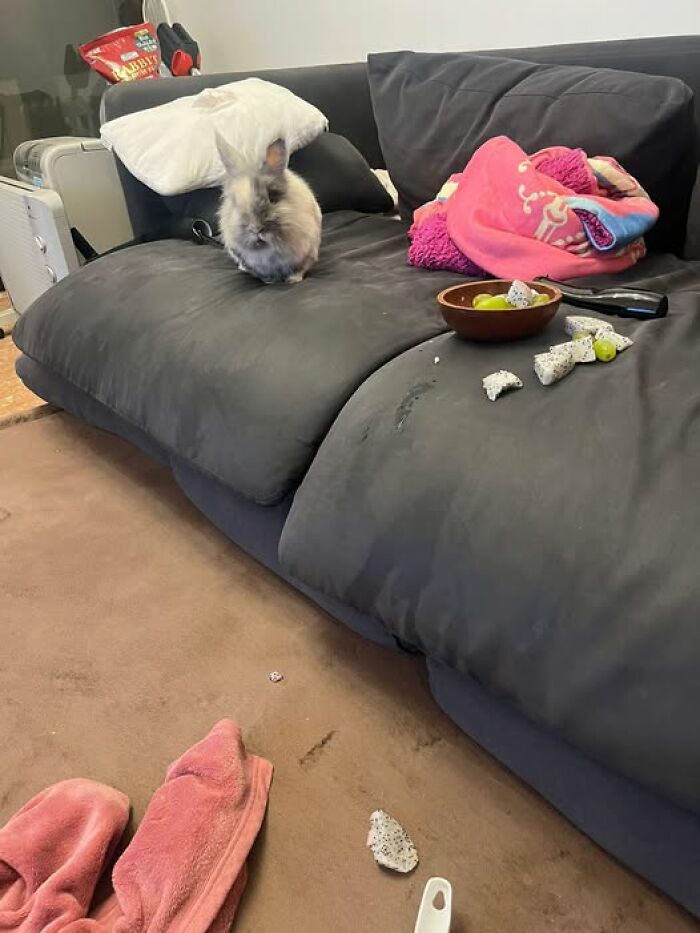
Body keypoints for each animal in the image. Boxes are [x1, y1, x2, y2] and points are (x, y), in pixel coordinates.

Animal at [216, 134, 322, 285]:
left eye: (272, 196)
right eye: (235, 202)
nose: (256, 229)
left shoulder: (308, 252)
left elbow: (300, 269)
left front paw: (293, 280)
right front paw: (269, 281)